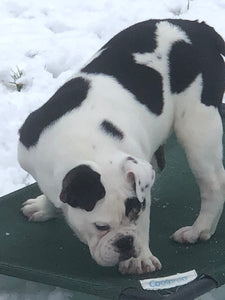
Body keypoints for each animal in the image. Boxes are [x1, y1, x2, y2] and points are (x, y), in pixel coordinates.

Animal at [18, 19, 225, 274]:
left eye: (136, 214)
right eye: (100, 226)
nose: (125, 242)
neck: (88, 148)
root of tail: (200, 29)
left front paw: (140, 259)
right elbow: (52, 193)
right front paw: (44, 206)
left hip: (198, 126)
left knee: (213, 183)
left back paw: (198, 230)